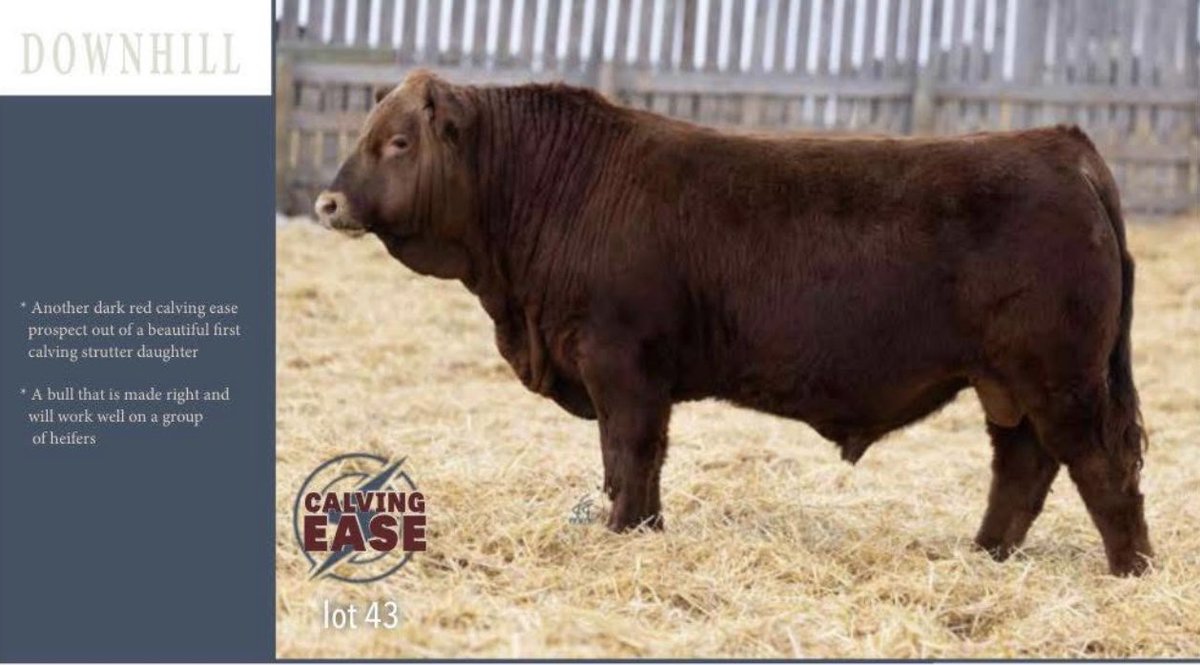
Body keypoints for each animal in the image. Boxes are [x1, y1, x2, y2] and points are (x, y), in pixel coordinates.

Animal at [314, 70, 1152, 576]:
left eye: (397, 141)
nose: (327, 201)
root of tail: (1061, 145)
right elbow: (644, 462)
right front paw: (644, 530)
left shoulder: (621, 362)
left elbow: (629, 455)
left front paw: (623, 531)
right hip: (1008, 386)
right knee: (1023, 468)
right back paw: (984, 554)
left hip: (1061, 379)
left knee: (1103, 467)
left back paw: (1129, 570)